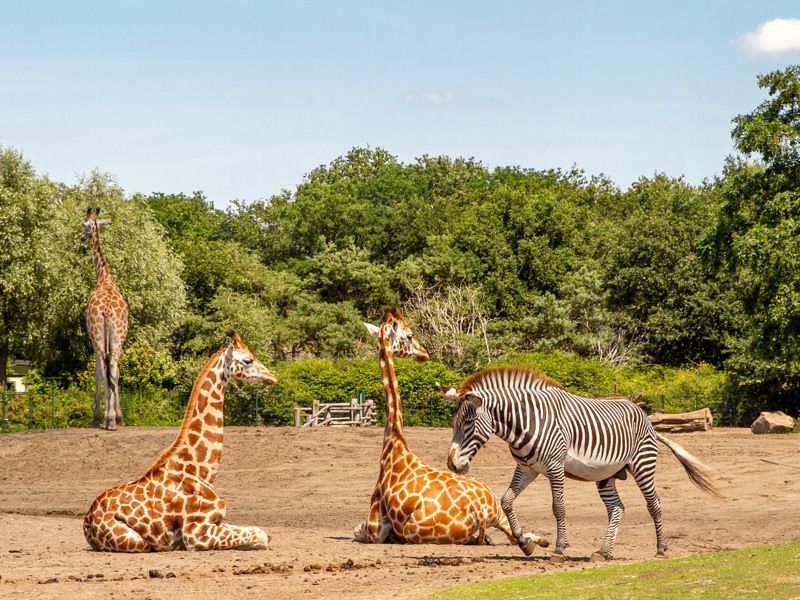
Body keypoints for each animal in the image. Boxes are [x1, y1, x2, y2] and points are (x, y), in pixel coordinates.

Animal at [84, 330, 276, 552]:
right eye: (247, 360)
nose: (273, 377)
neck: (201, 470)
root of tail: (87, 521)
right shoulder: (195, 533)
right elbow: (260, 535)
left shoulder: (215, 521)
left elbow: (263, 533)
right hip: (137, 541)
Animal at [356, 310, 552, 552]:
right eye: (410, 336)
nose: (424, 354)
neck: (394, 443)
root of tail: (478, 510)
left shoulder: (375, 528)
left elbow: (358, 529)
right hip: (496, 509)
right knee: (518, 536)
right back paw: (540, 541)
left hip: (413, 531)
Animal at [440, 366, 720, 564]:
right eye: (453, 423)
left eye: (468, 424)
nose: (452, 464)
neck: (524, 423)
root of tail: (645, 417)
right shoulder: (527, 469)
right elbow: (506, 500)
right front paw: (525, 543)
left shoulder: (555, 467)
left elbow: (558, 508)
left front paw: (559, 550)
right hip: (607, 475)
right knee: (616, 508)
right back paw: (603, 552)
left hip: (643, 465)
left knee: (654, 504)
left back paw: (661, 549)